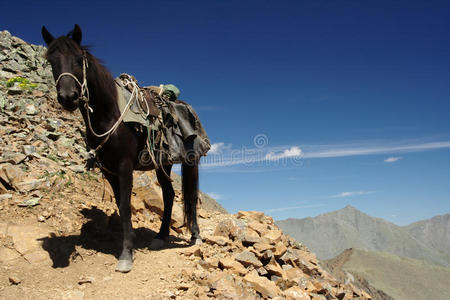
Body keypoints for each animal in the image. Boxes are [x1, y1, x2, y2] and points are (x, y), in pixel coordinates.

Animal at [41, 24, 203, 272]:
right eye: (51, 61)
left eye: (79, 59)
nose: (68, 97)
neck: (109, 115)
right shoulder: (108, 169)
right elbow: (119, 204)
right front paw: (128, 245)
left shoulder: (124, 166)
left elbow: (126, 206)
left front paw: (126, 254)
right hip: (162, 165)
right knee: (168, 195)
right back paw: (160, 236)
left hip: (191, 162)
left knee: (191, 196)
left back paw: (195, 236)